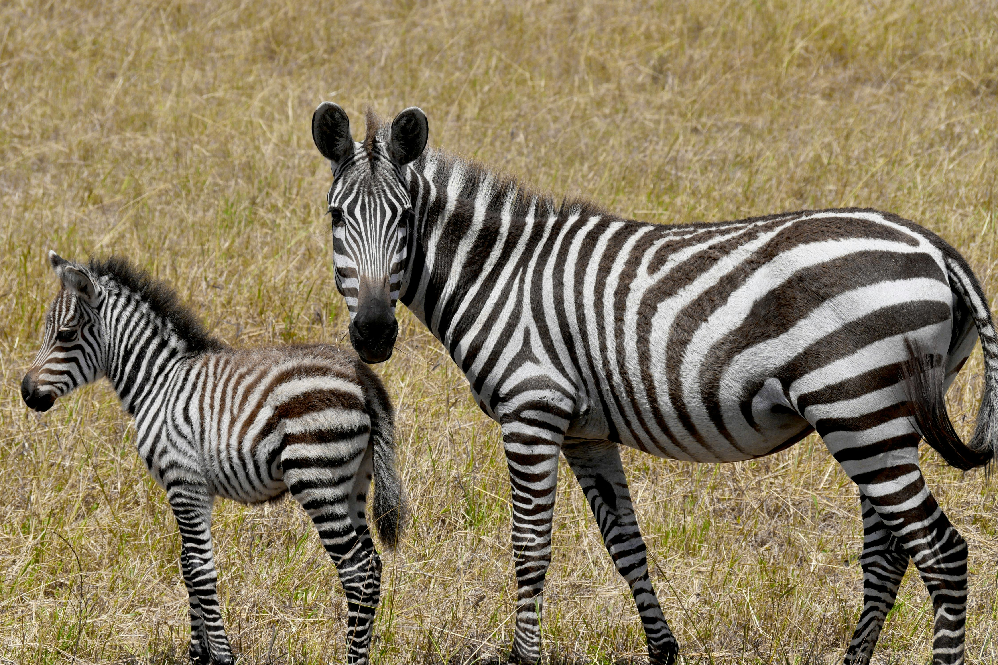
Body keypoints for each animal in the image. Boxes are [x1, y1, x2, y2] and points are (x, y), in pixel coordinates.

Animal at [21, 251, 406, 665]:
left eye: (65, 334)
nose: (25, 392)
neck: (158, 382)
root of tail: (363, 378)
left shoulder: (183, 482)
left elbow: (201, 570)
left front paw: (221, 655)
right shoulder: (190, 490)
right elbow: (188, 566)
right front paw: (197, 653)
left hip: (318, 479)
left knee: (356, 571)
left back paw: (353, 657)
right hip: (353, 483)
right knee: (372, 566)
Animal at [310, 103, 998, 664]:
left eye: (404, 217)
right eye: (337, 216)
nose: (373, 334)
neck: (500, 274)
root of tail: (936, 248)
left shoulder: (532, 410)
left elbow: (530, 547)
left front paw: (525, 657)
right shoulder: (585, 433)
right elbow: (626, 545)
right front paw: (663, 649)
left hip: (857, 407)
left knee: (942, 553)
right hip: (875, 417)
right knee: (890, 552)